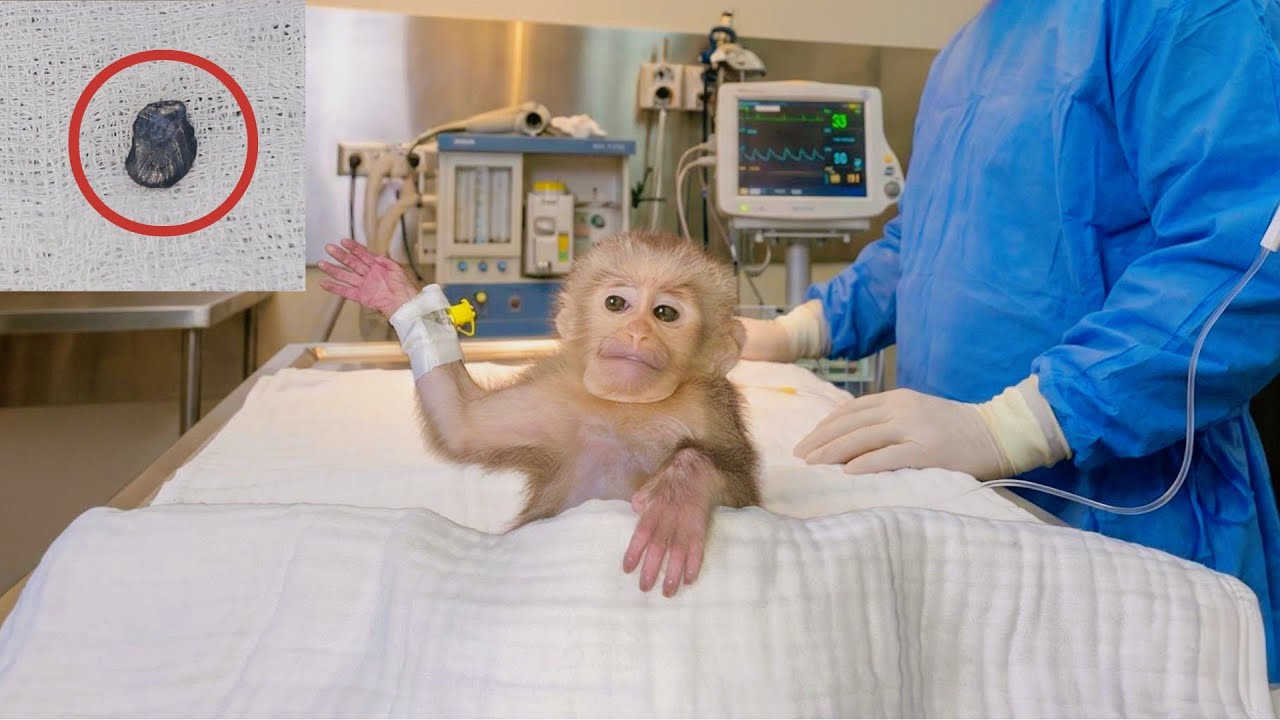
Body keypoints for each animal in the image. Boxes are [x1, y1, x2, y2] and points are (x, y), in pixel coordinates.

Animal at [318, 232, 760, 597]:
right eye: (617, 304)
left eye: (665, 313)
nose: (637, 332)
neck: (627, 407)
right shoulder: (553, 393)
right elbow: (464, 423)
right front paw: (393, 292)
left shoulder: (709, 404)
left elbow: (745, 499)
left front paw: (679, 493)